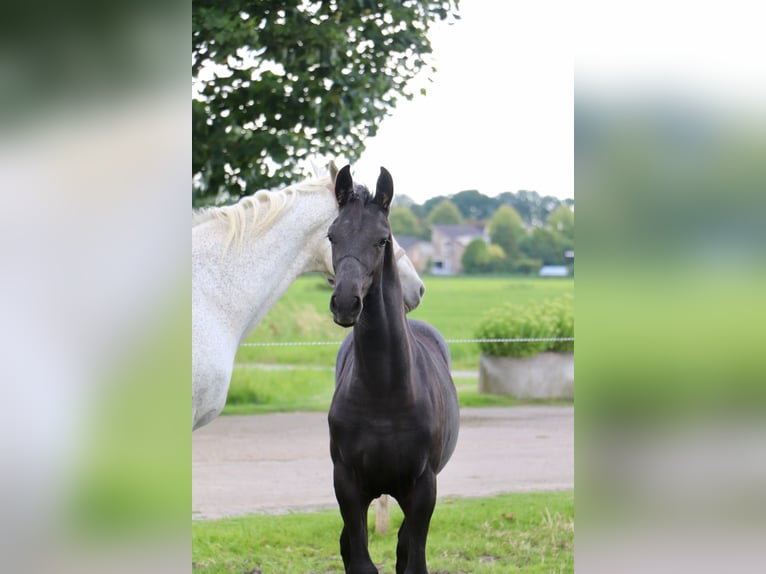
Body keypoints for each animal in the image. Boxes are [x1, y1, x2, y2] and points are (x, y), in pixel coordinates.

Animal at [328, 166, 460, 574]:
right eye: (332, 235)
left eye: (382, 239)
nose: (345, 303)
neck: (384, 391)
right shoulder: (347, 485)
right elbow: (358, 558)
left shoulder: (423, 488)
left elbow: (412, 559)